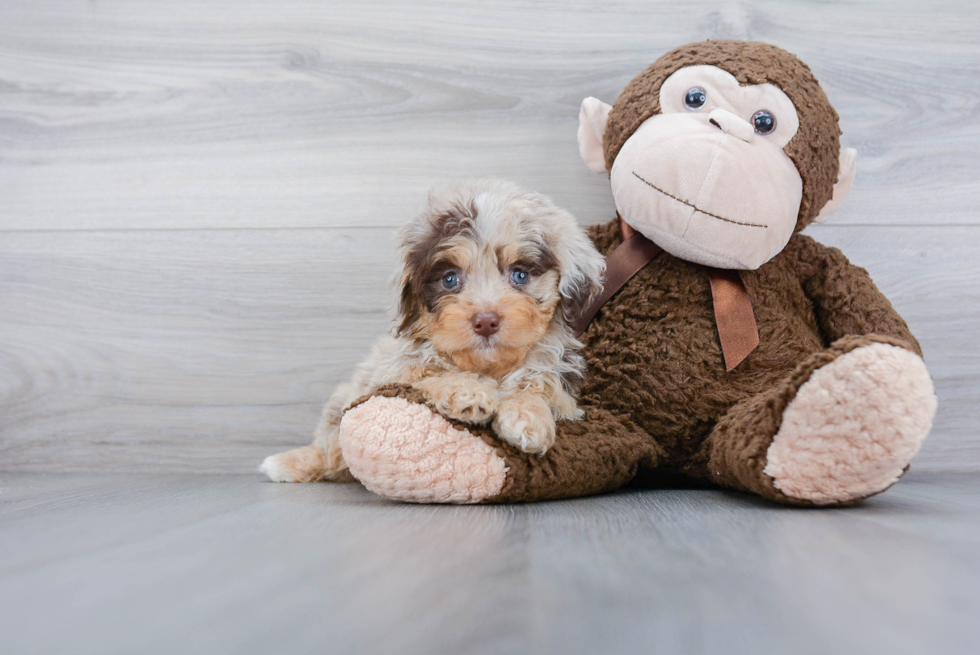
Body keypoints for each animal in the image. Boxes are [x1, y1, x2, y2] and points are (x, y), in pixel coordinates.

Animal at [264, 179, 608, 482]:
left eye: (520, 275)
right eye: (450, 279)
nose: (486, 321)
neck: (488, 368)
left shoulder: (561, 391)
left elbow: (537, 387)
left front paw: (528, 418)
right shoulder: (392, 373)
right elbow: (430, 374)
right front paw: (468, 393)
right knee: (329, 452)